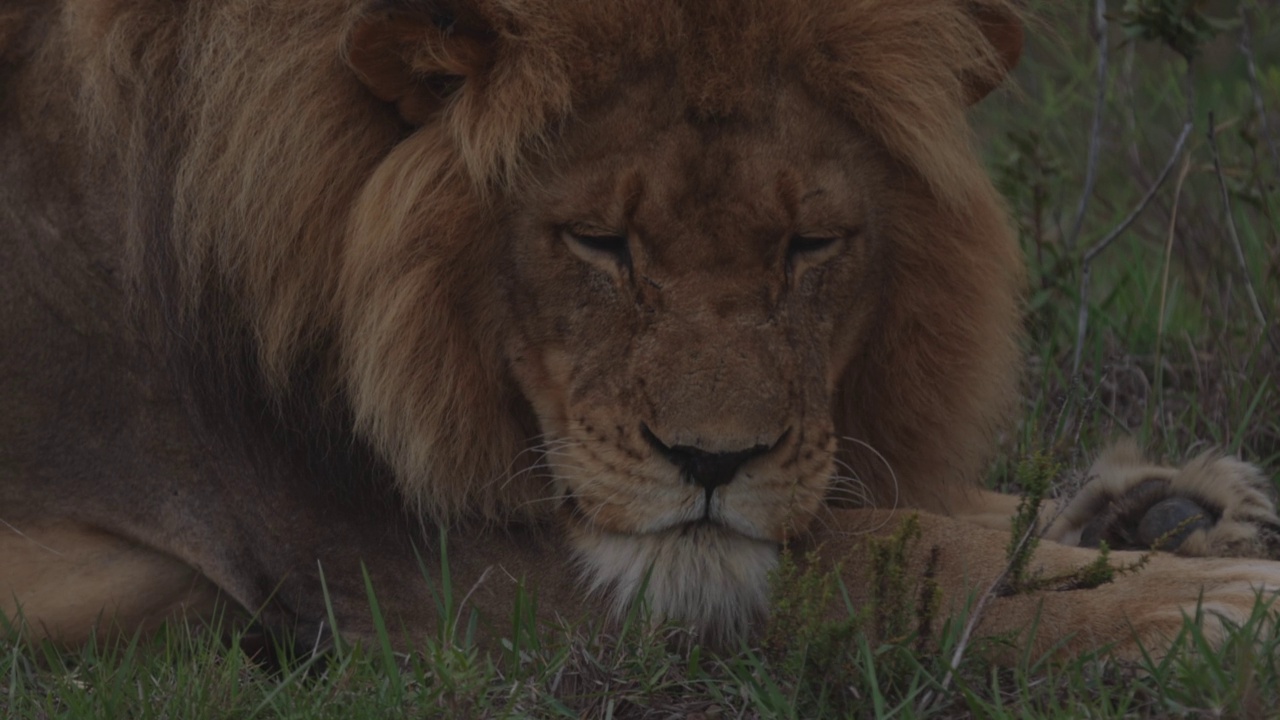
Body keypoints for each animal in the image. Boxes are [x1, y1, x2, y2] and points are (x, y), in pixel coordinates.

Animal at [2, 0, 1280, 655]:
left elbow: (942, 513)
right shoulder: (413, 572)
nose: (710, 465)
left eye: (807, 245)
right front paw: (1210, 601)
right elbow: (911, 561)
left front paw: (1172, 514)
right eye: (598, 243)